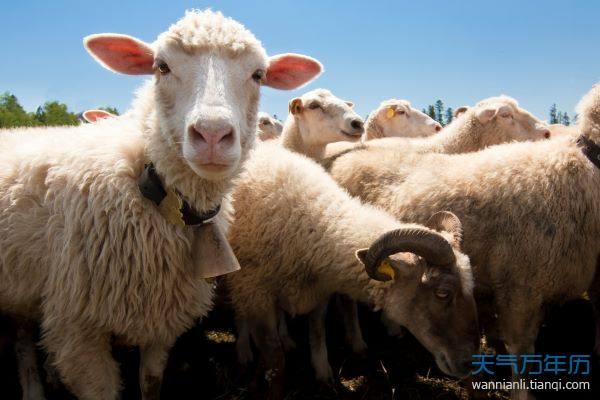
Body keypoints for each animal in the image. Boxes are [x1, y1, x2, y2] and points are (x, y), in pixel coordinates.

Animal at [0, 10, 324, 400]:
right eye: (162, 67)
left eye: (258, 74)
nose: (212, 135)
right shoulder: (77, 330)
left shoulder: (161, 320)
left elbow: (150, 383)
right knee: (22, 342)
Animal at [225, 142, 478, 396]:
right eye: (443, 293)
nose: (470, 364)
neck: (315, 224)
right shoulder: (257, 293)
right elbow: (275, 357)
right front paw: (267, 386)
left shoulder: (319, 292)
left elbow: (317, 332)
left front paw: (323, 374)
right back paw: (244, 351)